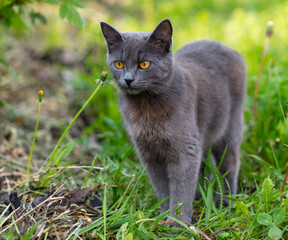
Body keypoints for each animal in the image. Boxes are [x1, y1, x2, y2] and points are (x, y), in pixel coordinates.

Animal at [100, 18, 246, 223]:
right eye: (119, 64)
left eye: (144, 64)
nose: (128, 79)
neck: (145, 106)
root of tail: (226, 47)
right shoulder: (148, 152)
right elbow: (162, 187)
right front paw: (163, 216)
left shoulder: (185, 149)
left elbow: (181, 187)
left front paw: (177, 222)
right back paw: (201, 196)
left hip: (230, 127)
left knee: (229, 163)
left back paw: (226, 202)